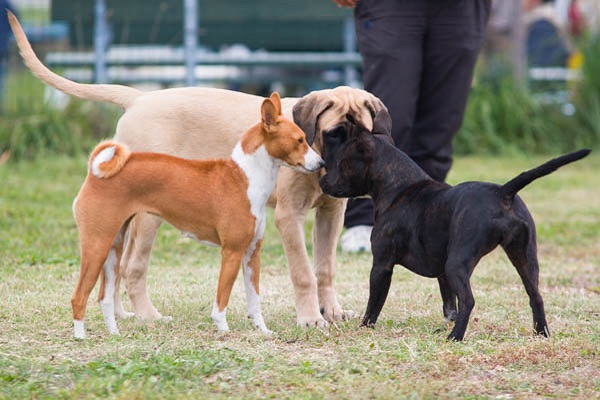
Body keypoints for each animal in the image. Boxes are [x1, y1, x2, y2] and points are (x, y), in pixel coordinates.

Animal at [71, 93, 324, 338]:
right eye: (300, 140)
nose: (322, 162)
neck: (246, 177)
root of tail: (94, 173)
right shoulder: (231, 252)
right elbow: (222, 299)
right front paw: (223, 330)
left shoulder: (252, 253)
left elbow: (254, 302)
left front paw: (263, 331)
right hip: (97, 246)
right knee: (79, 296)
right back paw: (80, 337)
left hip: (113, 247)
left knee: (104, 297)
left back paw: (114, 333)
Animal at [322, 118, 588, 340]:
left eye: (341, 163)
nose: (323, 181)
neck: (398, 187)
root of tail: (503, 192)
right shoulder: (441, 271)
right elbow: (449, 303)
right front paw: (447, 322)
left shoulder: (381, 266)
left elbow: (374, 304)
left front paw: (364, 327)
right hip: (524, 258)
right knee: (536, 296)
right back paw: (541, 333)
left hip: (459, 262)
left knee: (469, 300)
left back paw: (456, 337)